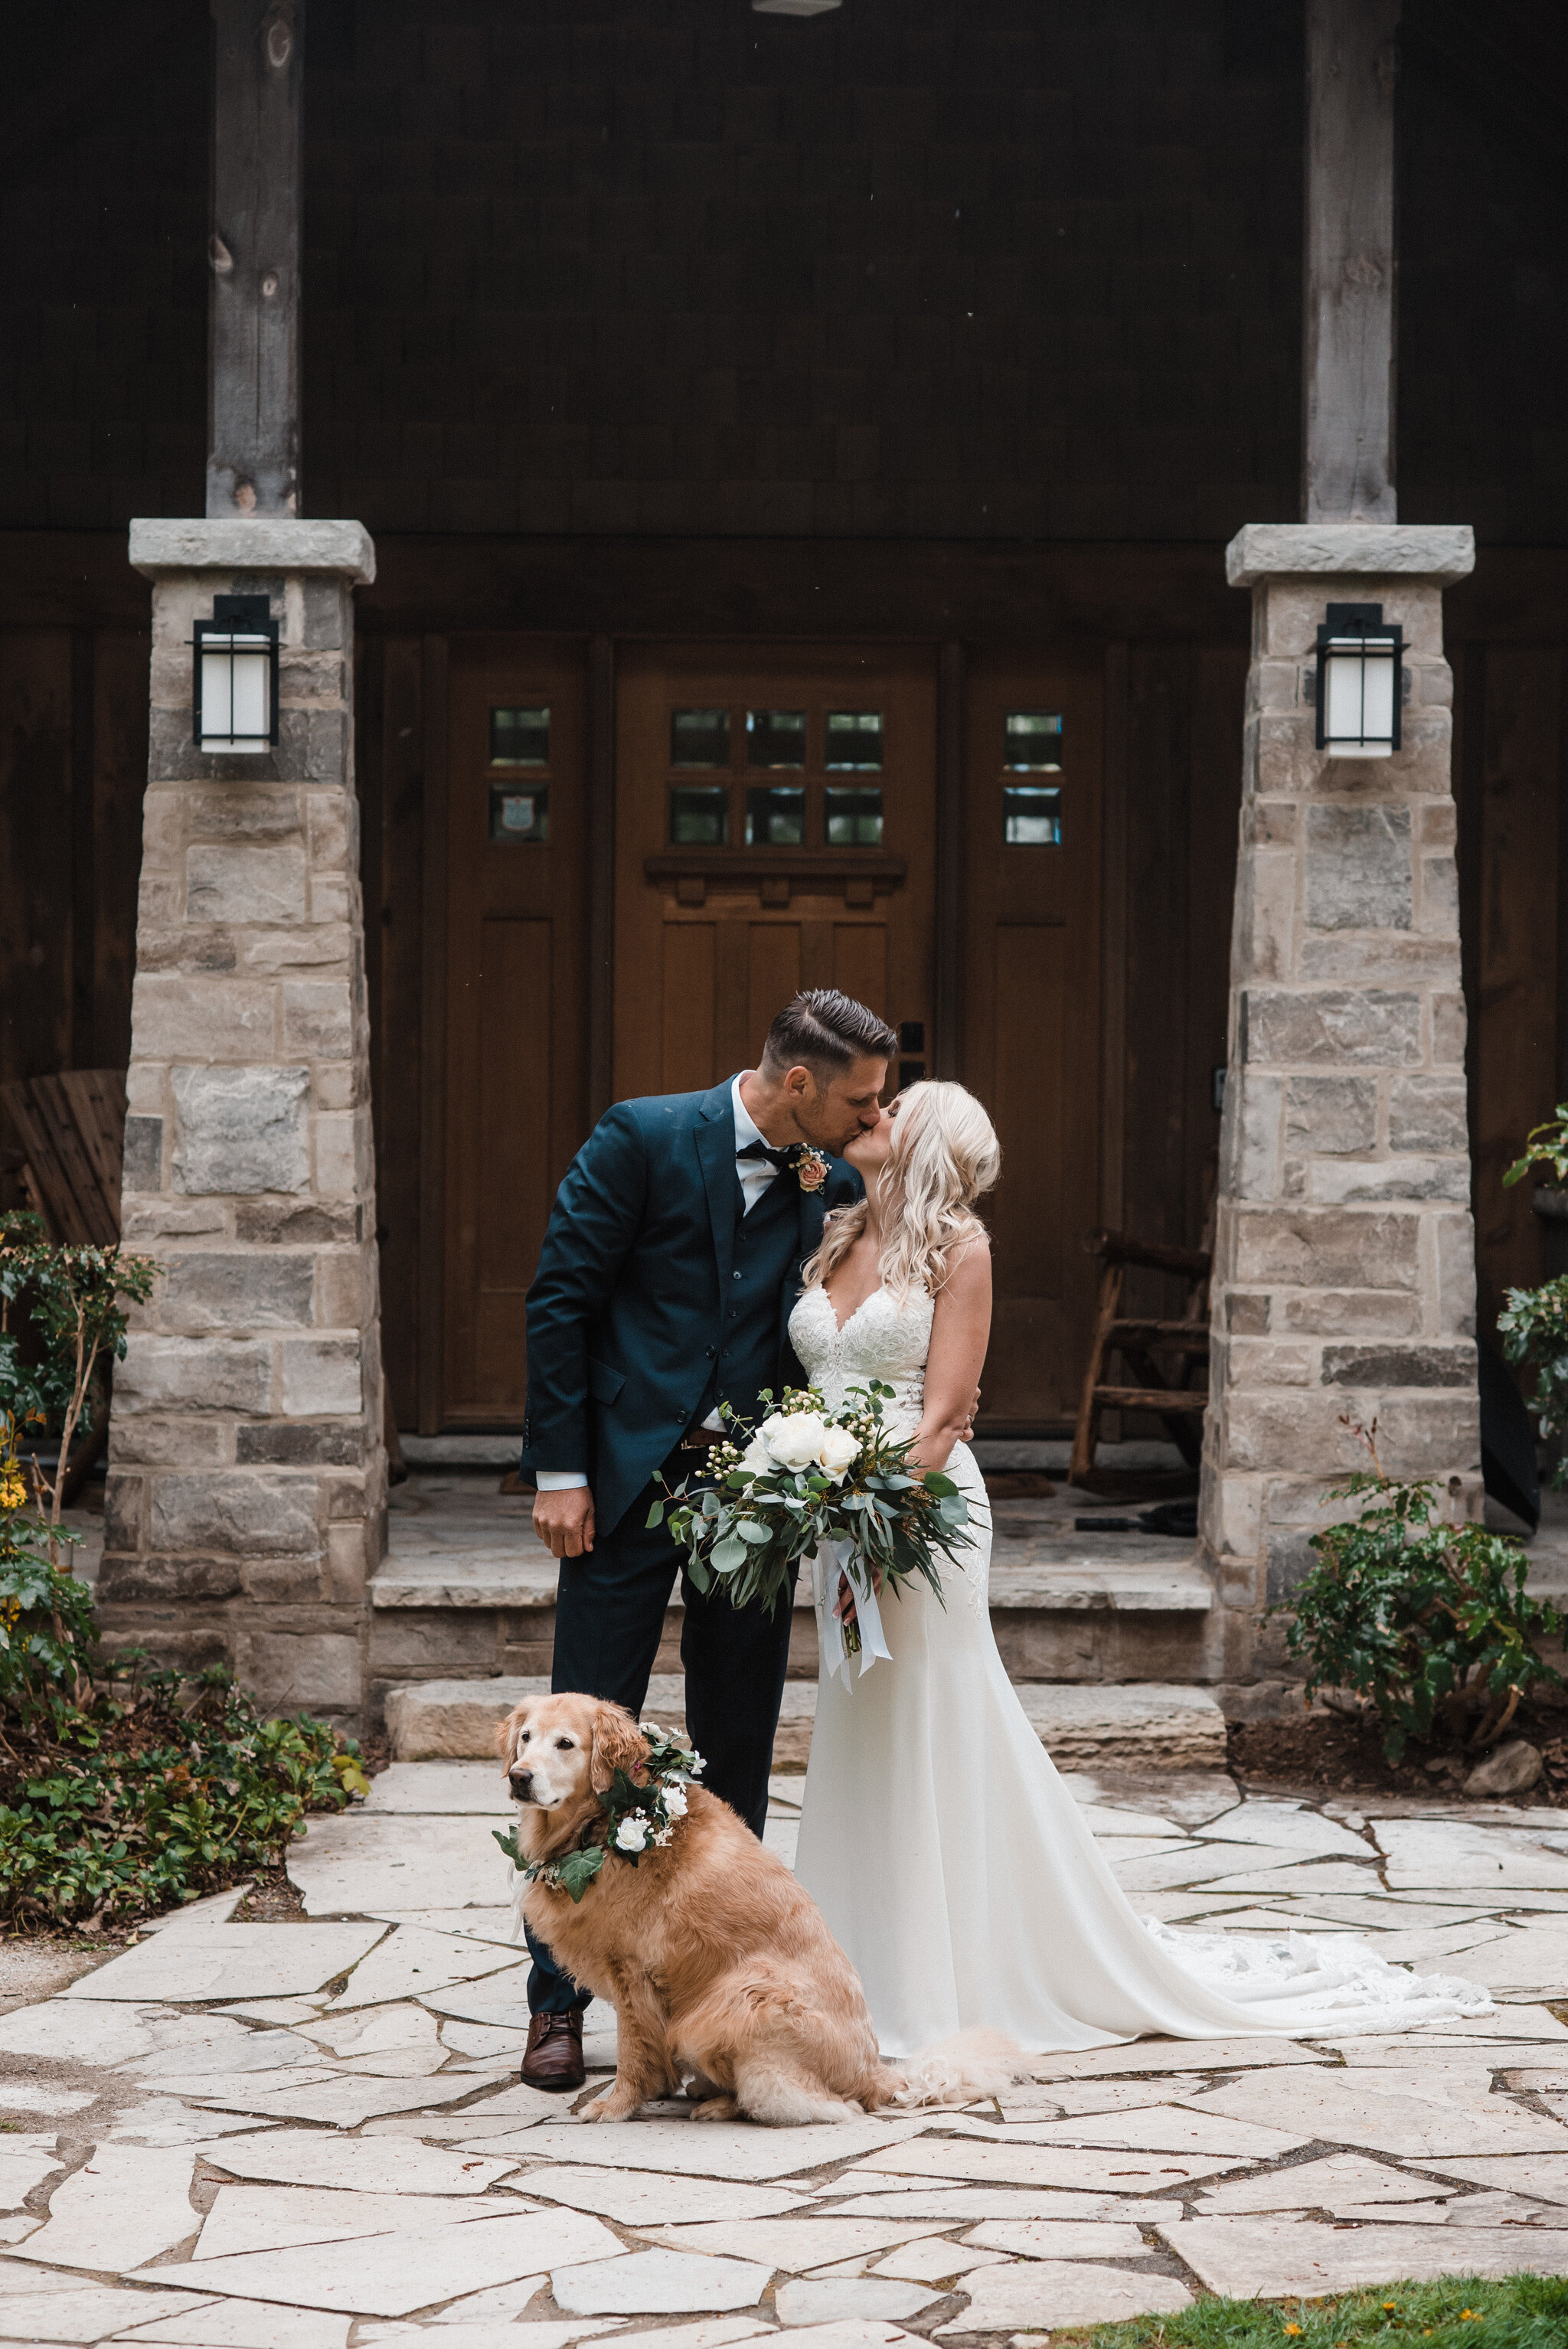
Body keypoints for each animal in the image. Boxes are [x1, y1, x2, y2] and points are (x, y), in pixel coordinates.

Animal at [495, 1691, 1023, 2132]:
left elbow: (633, 2050)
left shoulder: (634, 1973)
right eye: (526, 1738)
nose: (520, 1777)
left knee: (821, 2105)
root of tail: (873, 2074)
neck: (611, 1820)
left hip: (746, 1994)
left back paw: (720, 2103)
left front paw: (618, 2105)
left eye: (566, 1744)